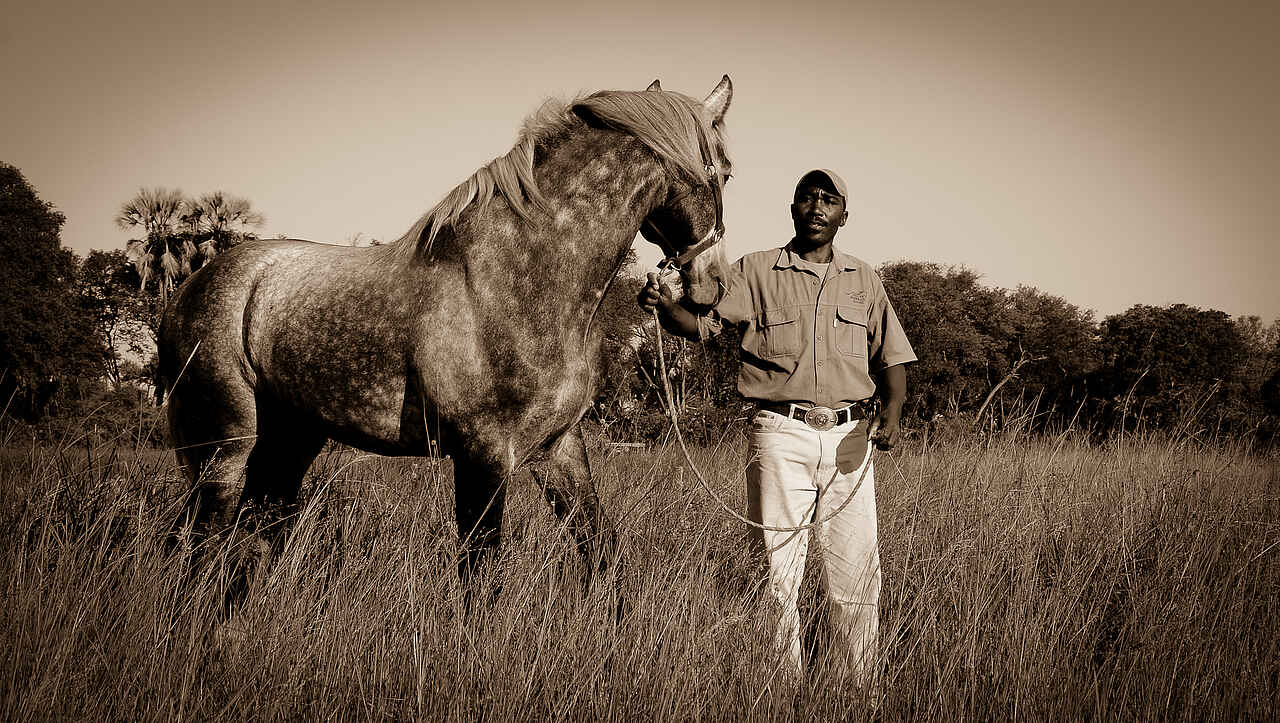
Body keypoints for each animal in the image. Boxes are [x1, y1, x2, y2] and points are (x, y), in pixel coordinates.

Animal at [158, 76, 734, 584]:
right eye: (725, 172)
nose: (714, 288)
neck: (517, 276)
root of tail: (188, 287)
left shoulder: (559, 448)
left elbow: (601, 551)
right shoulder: (483, 455)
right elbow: (482, 572)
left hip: (291, 441)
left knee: (249, 544)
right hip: (225, 445)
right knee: (200, 547)